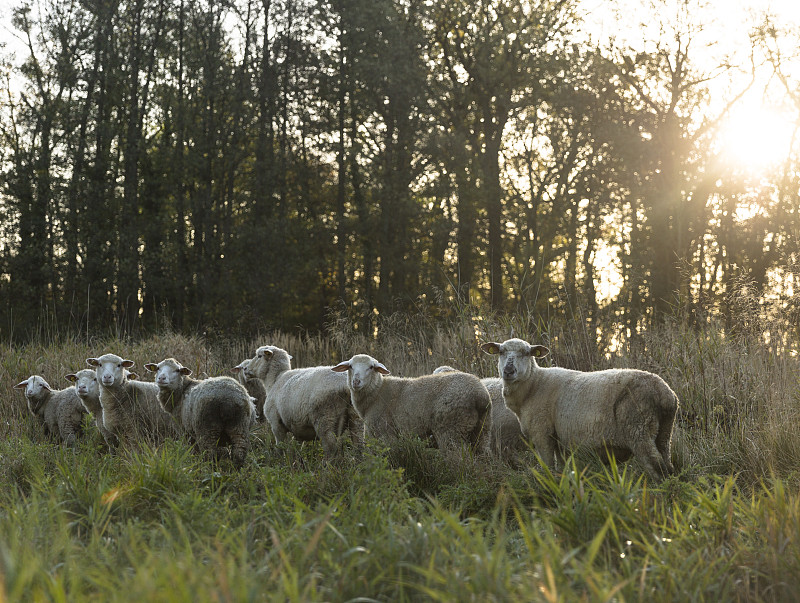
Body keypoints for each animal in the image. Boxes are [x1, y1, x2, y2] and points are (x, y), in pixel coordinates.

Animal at [330, 356, 490, 450]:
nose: (356, 381)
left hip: (451, 431)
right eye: (350, 366)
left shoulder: (386, 435)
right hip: (481, 432)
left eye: (371, 367)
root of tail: (480, 395)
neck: (377, 392)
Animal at [482, 338, 676, 478]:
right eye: (501, 352)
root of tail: (664, 392)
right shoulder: (558, 440)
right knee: (667, 463)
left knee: (656, 466)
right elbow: (561, 468)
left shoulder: (542, 433)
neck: (534, 385)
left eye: (526, 353)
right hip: (664, 432)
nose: (508, 371)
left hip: (638, 429)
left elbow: (548, 467)